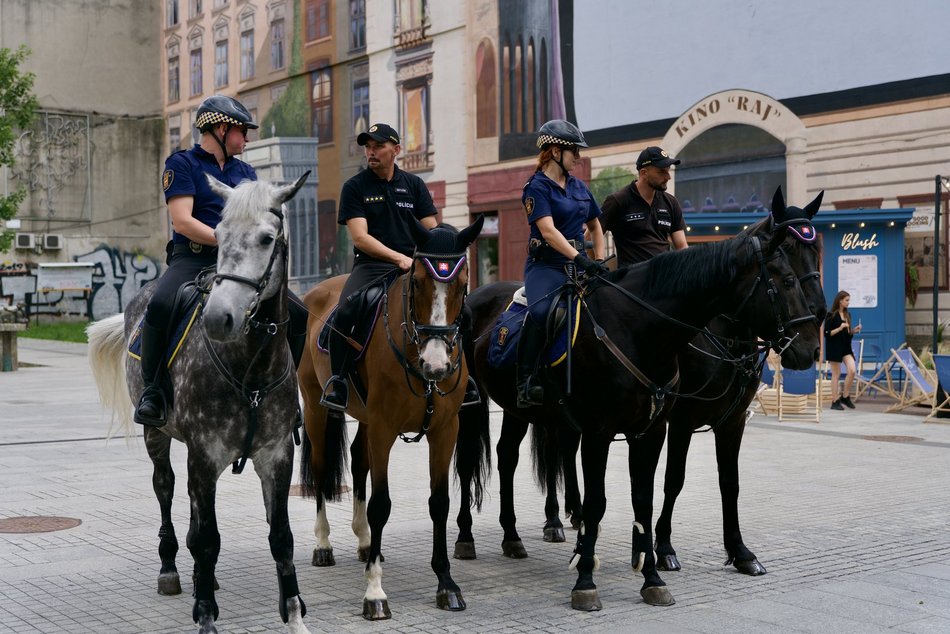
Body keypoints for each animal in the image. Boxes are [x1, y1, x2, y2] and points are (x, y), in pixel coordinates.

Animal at [300, 216, 484, 616]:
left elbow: (439, 503)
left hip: (365, 417)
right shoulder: (383, 428)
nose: (436, 365)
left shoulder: (445, 430)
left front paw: (446, 583)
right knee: (321, 471)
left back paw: (366, 543)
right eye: (416, 282)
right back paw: (323, 544)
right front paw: (374, 592)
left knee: (357, 460)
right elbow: (381, 505)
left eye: (462, 285)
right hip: (315, 408)